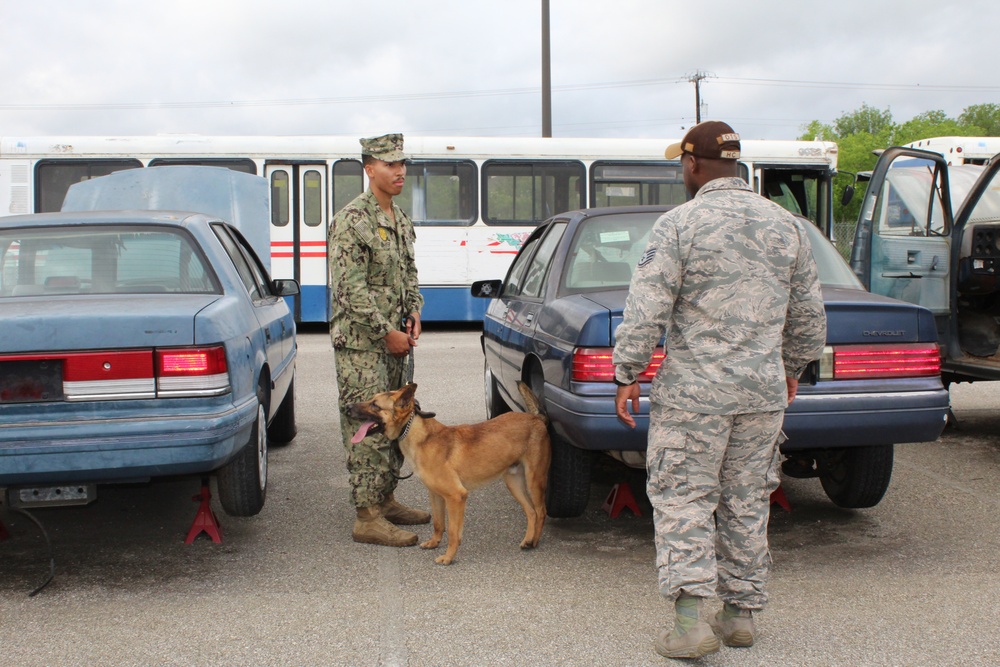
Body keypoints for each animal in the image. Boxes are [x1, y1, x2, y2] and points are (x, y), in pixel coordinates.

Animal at [348, 380, 552, 564]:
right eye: (371, 400)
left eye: (375, 405)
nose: (348, 407)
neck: (419, 435)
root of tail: (537, 418)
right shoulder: (436, 495)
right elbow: (439, 524)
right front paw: (433, 543)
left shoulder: (456, 497)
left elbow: (453, 532)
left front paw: (448, 557)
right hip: (514, 483)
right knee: (531, 512)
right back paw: (528, 540)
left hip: (534, 480)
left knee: (540, 511)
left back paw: (535, 542)